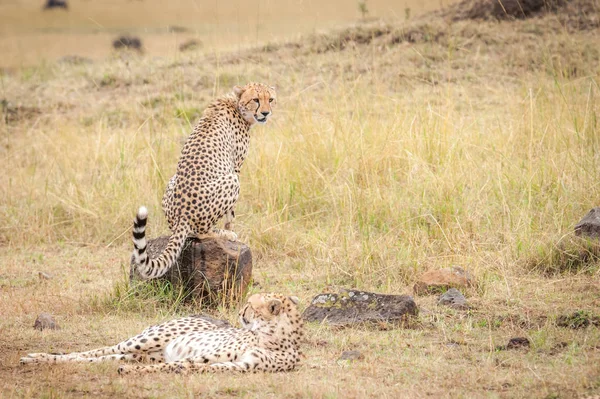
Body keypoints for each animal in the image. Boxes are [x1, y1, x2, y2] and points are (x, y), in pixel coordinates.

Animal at [19, 292, 304, 376]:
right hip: (143, 341)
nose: (240, 312)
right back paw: (36, 358)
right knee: (97, 350)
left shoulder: (240, 366)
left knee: (96, 358)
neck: (273, 337)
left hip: (140, 352)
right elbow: (181, 365)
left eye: (250, 305)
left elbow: (188, 366)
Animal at [131, 83, 276, 280]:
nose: (266, 113)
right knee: (200, 232)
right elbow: (231, 214)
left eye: (271, 99)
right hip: (231, 181)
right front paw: (230, 228)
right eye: (256, 99)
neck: (236, 104)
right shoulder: (235, 168)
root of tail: (181, 215)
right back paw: (224, 233)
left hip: (172, 182)